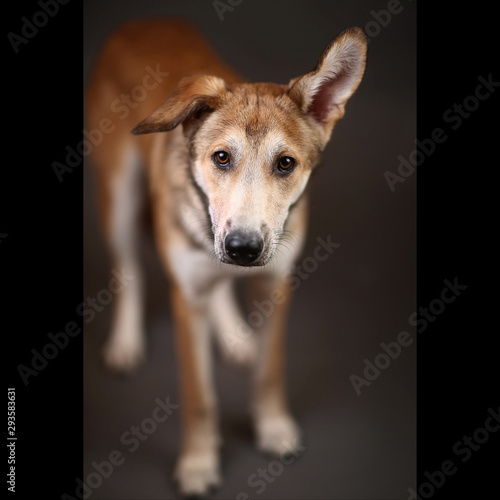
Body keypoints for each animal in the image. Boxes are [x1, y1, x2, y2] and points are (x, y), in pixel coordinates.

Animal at [85, 18, 368, 496]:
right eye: (221, 157)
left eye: (286, 164)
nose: (243, 248)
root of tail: (141, 23)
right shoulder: (186, 299)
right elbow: (199, 397)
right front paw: (198, 464)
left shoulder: (275, 284)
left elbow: (270, 370)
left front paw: (273, 429)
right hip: (120, 198)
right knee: (128, 270)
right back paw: (126, 341)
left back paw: (234, 336)